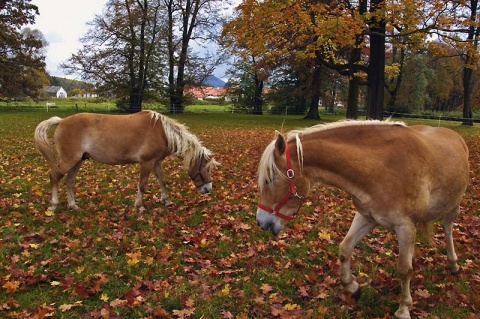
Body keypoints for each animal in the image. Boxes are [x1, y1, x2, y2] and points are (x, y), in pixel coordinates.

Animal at [35, 110, 218, 212]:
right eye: (207, 168)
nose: (208, 189)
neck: (162, 132)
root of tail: (61, 121)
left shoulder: (156, 162)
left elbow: (162, 181)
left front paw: (166, 201)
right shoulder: (147, 162)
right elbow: (142, 185)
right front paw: (139, 206)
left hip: (78, 161)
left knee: (69, 181)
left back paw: (73, 206)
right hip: (69, 160)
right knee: (54, 176)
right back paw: (54, 205)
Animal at [256, 120, 470, 319]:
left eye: (269, 180)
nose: (261, 222)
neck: (380, 168)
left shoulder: (405, 225)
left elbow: (403, 269)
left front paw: (403, 308)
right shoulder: (366, 217)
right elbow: (345, 249)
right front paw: (352, 287)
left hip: (453, 206)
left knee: (448, 228)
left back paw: (453, 264)